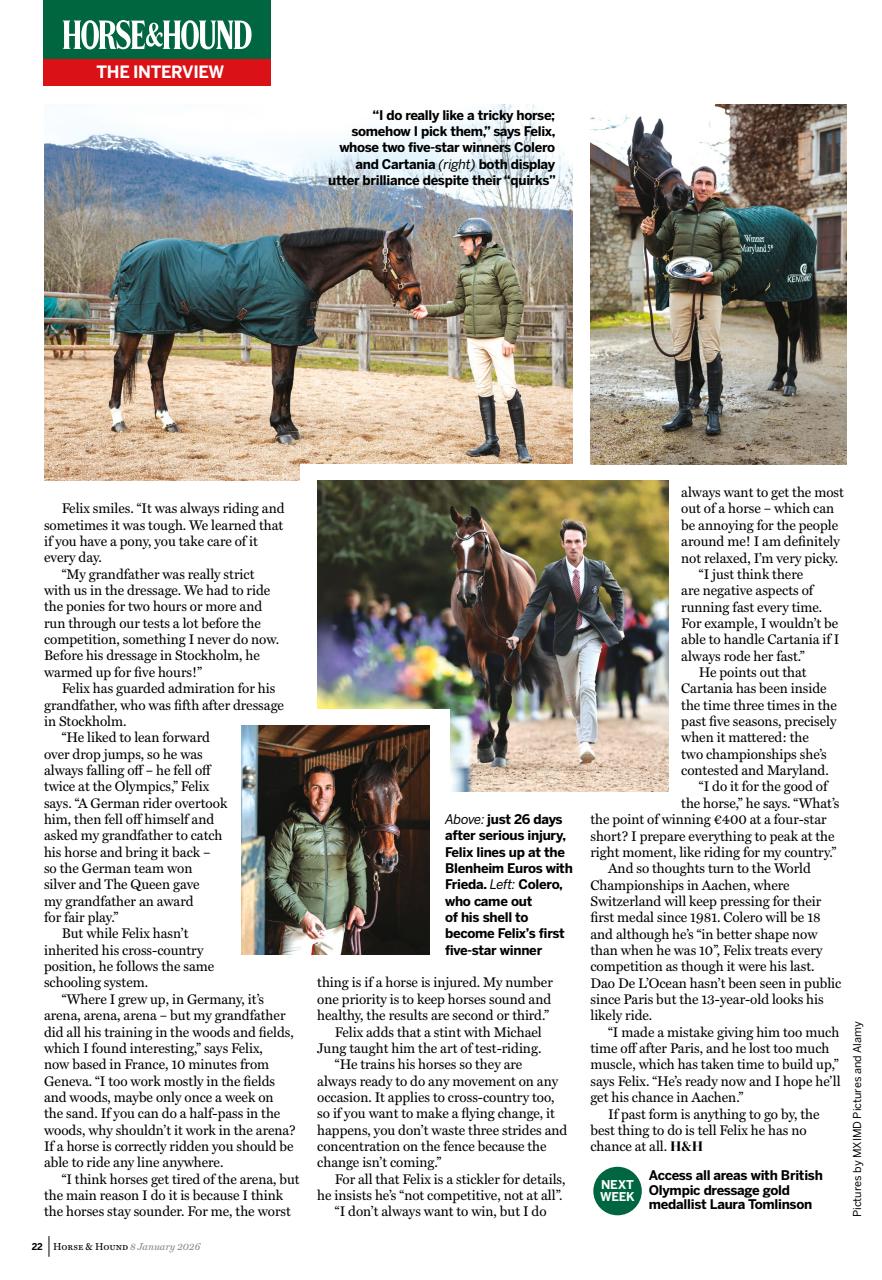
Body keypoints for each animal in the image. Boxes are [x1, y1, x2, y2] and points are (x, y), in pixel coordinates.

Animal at [108, 224, 421, 442]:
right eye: (400, 257)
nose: (415, 298)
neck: (298, 268)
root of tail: (133, 252)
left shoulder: (291, 334)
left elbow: (289, 380)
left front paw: (289, 426)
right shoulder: (281, 332)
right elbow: (280, 380)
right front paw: (280, 429)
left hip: (165, 325)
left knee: (156, 367)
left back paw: (168, 421)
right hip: (136, 325)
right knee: (122, 363)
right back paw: (118, 420)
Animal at [450, 506, 550, 768]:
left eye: (480, 547)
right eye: (455, 548)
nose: (467, 597)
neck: (495, 599)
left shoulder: (513, 651)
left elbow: (505, 696)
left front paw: (501, 747)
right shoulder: (475, 647)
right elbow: (481, 690)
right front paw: (485, 745)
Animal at [628, 117, 821, 400]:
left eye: (668, 154)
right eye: (646, 155)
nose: (681, 192)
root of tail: (804, 227)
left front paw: (697, 392)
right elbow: (692, 342)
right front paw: (695, 392)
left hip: (795, 290)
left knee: (793, 330)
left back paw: (790, 383)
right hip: (771, 293)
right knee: (781, 328)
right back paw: (776, 378)